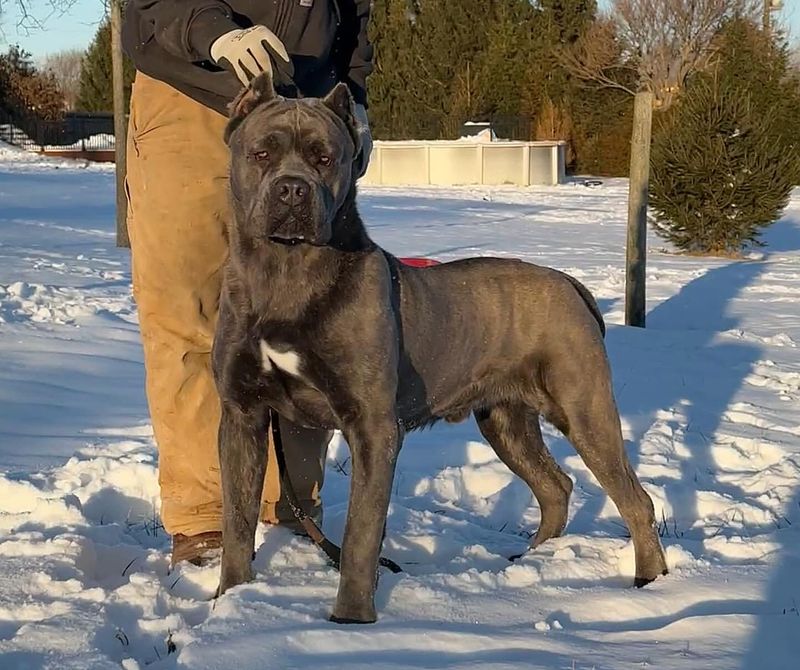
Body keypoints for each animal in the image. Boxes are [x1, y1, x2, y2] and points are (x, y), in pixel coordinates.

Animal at [212, 73, 668, 624]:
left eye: (325, 157)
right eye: (262, 152)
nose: (293, 188)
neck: (284, 277)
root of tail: (569, 283)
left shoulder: (373, 427)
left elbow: (361, 534)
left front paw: (350, 620)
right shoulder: (243, 414)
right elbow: (237, 517)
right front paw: (228, 598)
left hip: (584, 409)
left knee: (633, 497)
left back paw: (647, 579)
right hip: (505, 421)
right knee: (555, 486)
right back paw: (532, 559)